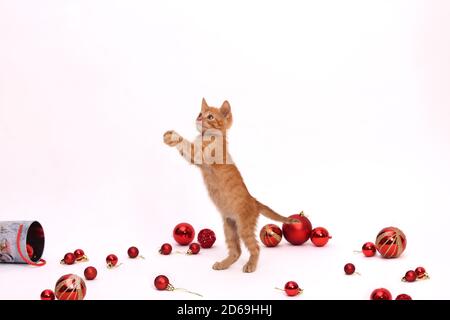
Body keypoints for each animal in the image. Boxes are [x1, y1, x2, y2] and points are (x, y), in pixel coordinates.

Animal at [163, 98, 298, 272]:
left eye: (210, 117)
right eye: (200, 113)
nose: (199, 118)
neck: (209, 136)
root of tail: (254, 200)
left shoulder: (199, 155)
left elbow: (187, 144)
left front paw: (173, 135)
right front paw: (169, 138)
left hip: (244, 227)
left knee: (255, 247)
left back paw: (250, 266)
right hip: (229, 226)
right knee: (236, 251)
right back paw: (223, 264)